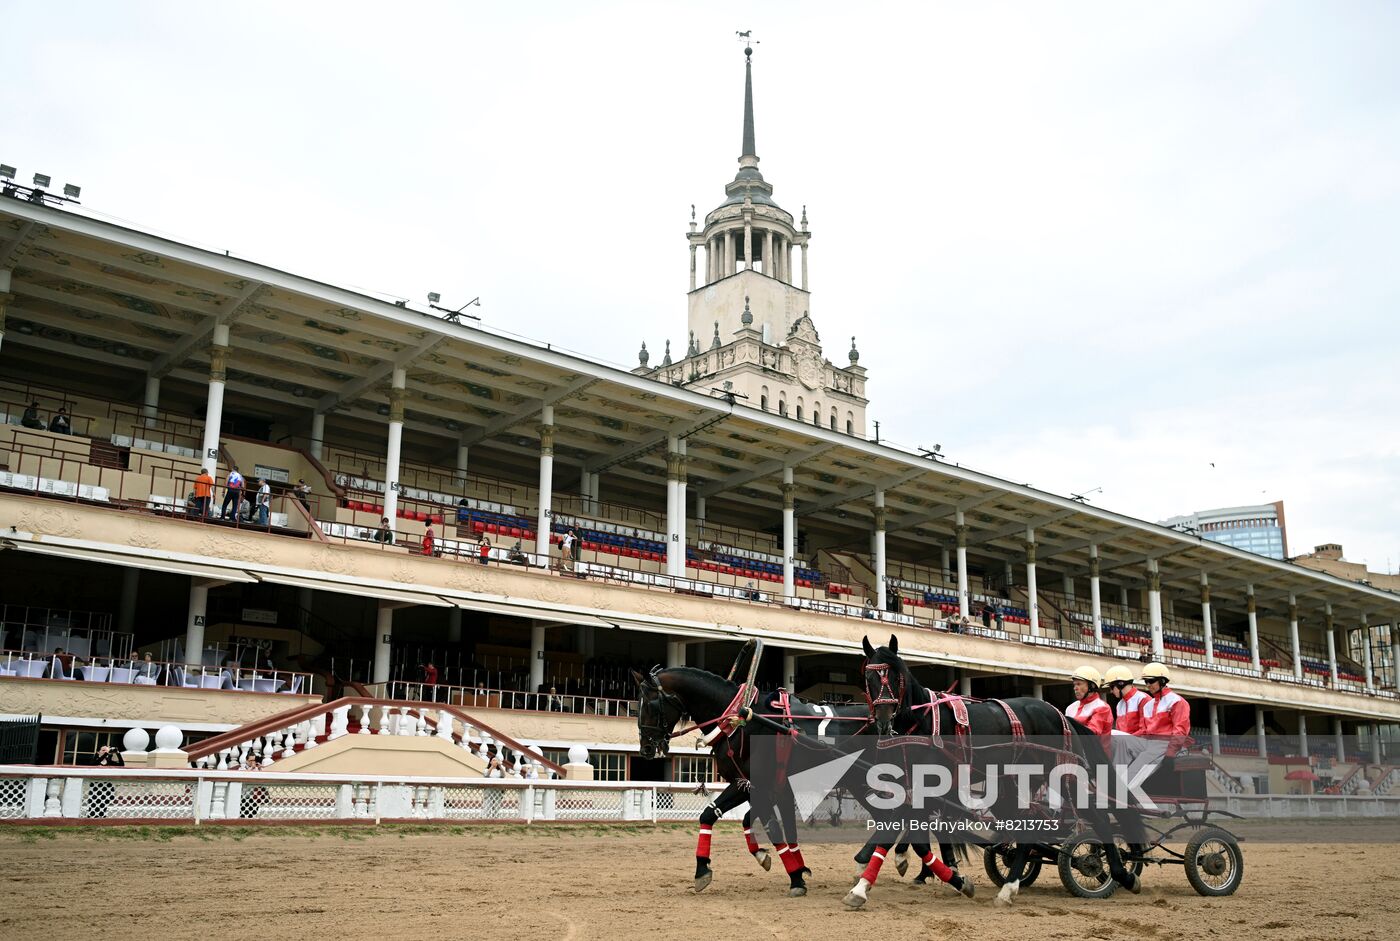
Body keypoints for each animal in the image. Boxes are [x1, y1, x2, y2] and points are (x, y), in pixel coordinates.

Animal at [845, 635, 1142, 907]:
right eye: (869, 677)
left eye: (896, 675)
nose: (884, 720)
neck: (923, 722)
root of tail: (1060, 714)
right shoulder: (913, 785)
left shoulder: (927, 783)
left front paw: (864, 883)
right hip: (1011, 784)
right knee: (1027, 826)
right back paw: (1009, 887)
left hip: (1062, 775)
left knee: (1098, 817)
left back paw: (1116, 873)